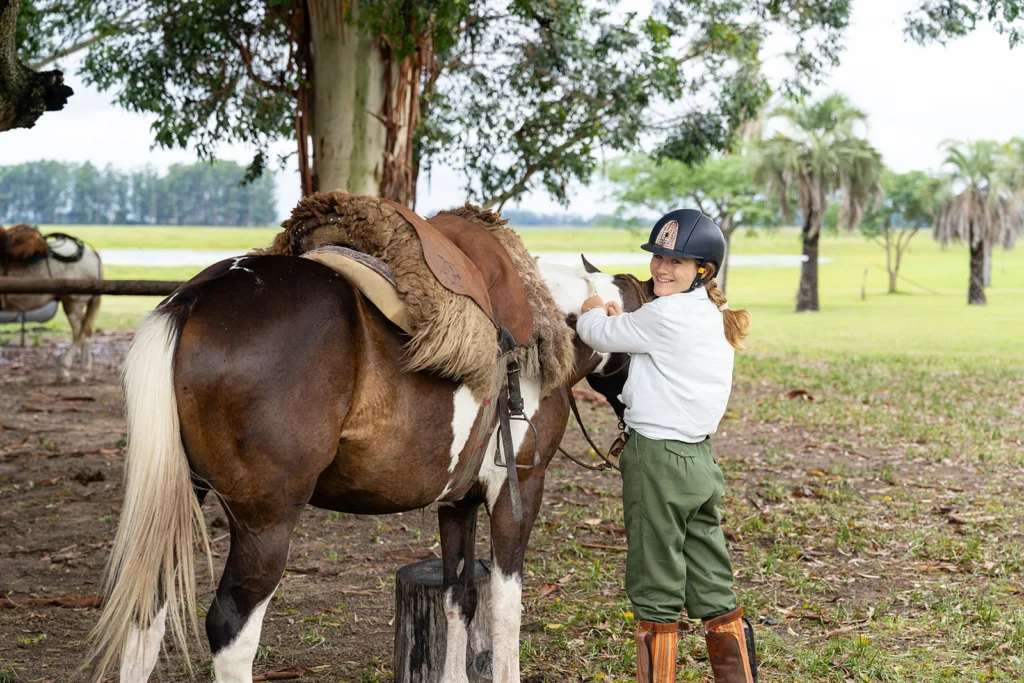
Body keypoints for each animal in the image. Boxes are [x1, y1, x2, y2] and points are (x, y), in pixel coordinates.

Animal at [0, 228, 103, 382]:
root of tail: (92, 254)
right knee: (86, 331)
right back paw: (84, 371)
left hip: (73, 303)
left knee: (79, 333)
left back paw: (65, 370)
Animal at [88, 253, 641, 683]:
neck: (548, 325)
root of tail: (195, 298)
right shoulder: (518, 488)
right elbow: (506, 606)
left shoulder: (457, 502)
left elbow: (459, 598)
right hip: (265, 522)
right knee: (230, 629)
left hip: (181, 499)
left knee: (146, 615)